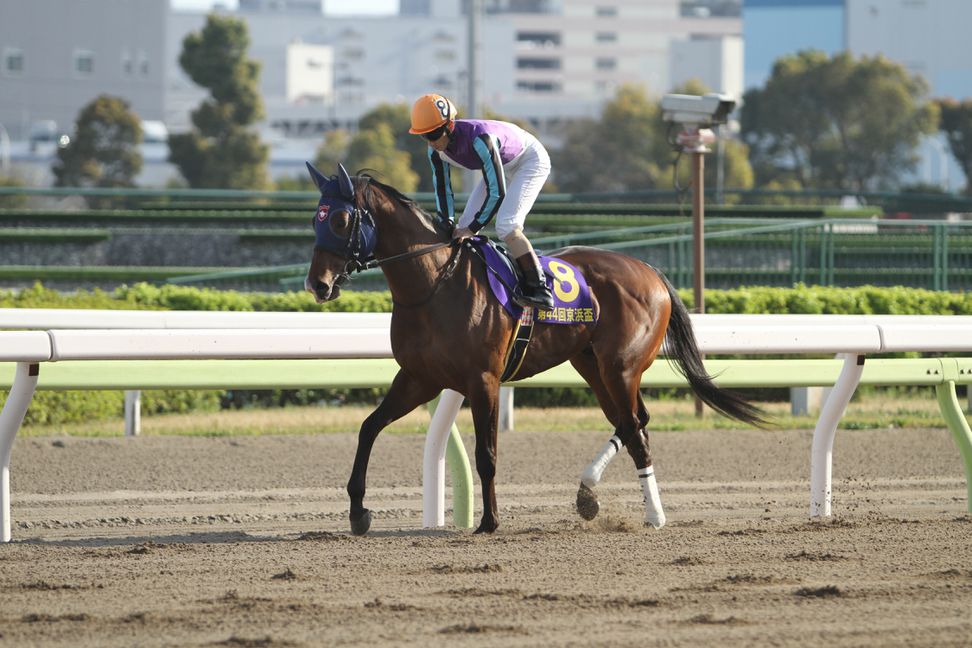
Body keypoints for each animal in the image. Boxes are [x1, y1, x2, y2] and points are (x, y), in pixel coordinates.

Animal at [306, 163, 768, 536]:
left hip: (621, 366)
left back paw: (654, 515)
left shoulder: (483, 380)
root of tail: (652, 271)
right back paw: (587, 495)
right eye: (316, 218)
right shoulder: (419, 378)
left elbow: (486, 453)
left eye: (343, 219)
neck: (435, 283)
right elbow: (368, 428)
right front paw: (358, 513)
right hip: (591, 365)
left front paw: (490, 521)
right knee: (632, 422)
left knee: (635, 428)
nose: (317, 284)